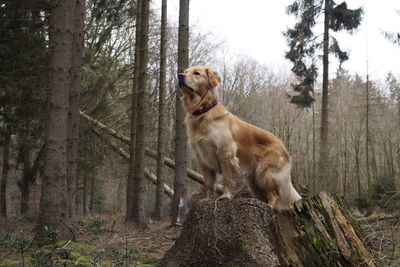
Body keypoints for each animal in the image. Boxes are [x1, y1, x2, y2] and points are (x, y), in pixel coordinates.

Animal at [177, 66, 302, 209]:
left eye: (196, 73)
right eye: (186, 71)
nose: (180, 75)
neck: (203, 111)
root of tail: (285, 149)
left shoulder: (225, 153)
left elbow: (227, 178)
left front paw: (225, 196)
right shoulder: (203, 159)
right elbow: (208, 183)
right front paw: (207, 199)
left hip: (264, 174)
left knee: (275, 194)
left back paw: (269, 206)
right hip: (254, 182)